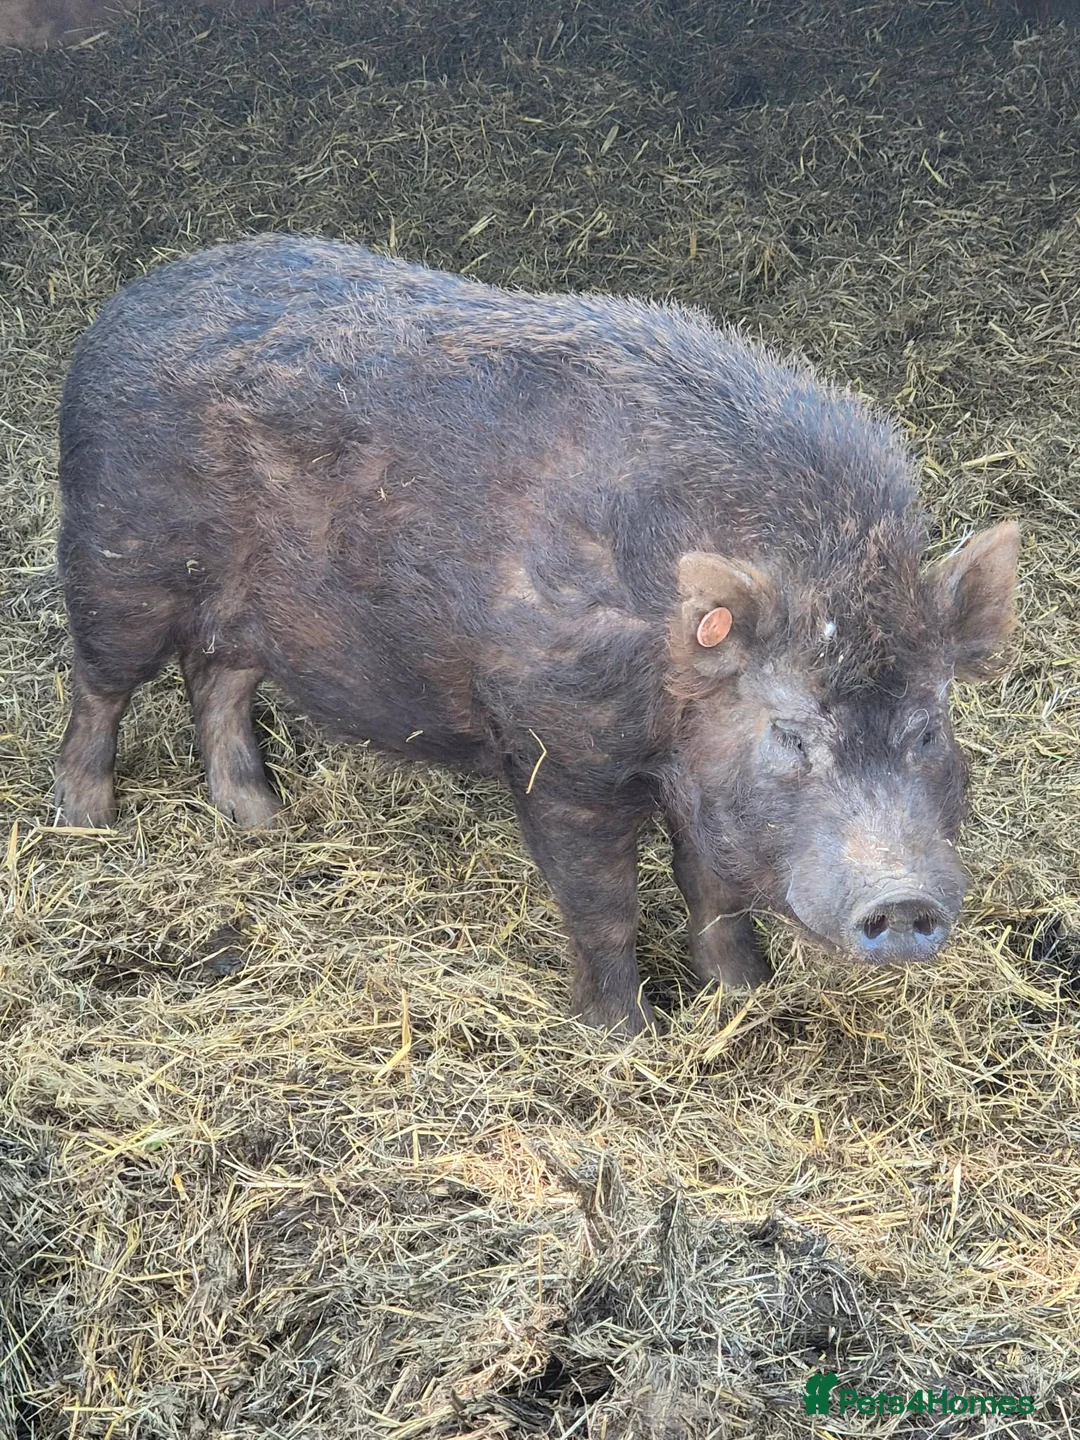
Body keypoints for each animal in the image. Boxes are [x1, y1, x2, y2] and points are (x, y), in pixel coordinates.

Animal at [53, 235, 1021, 1034]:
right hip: (117, 560)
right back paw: (85, 825)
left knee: (216, 678)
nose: (904, 901)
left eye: (929, 728)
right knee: (102, 685)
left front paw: (745, 1000)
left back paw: (261, 821)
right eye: (790, 733)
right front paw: (626, 1038)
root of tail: (125, 303)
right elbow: (605, 904)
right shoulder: (558, 745)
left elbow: (714, 892)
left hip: (245, 611)